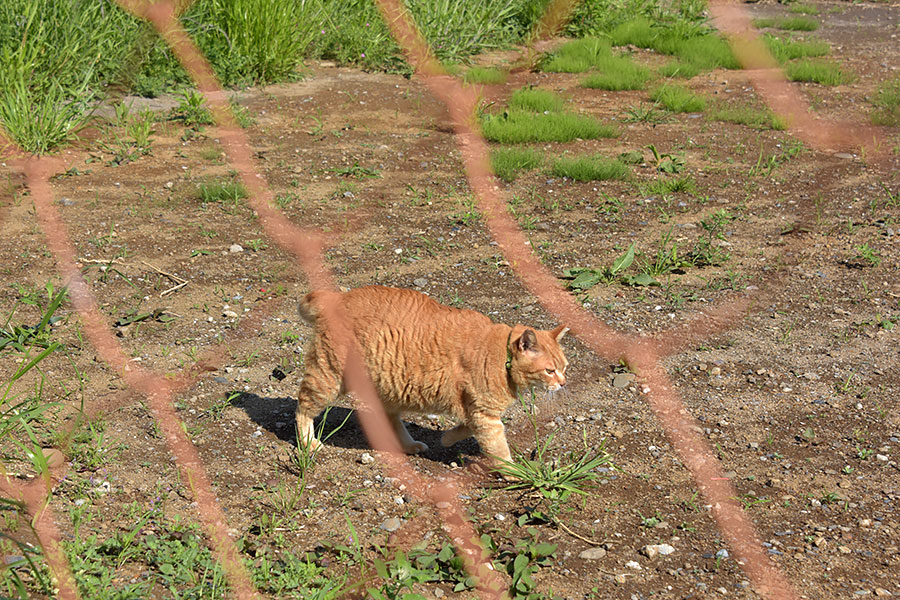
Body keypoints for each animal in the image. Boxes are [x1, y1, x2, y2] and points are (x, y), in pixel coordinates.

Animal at [296, 288, 568, 468]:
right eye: (550, 371)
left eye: (564, 367)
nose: (563, 383)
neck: (502, 357)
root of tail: (338, 297)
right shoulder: (485, 415)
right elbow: (499, 447)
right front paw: (516, 472)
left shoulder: (476, 411)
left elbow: (465, 428)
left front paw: (447, 438)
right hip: (328, 378)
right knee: (303, 407)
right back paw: (308, 443)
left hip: (390, 386)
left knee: (390, 419)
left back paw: (406, 446)